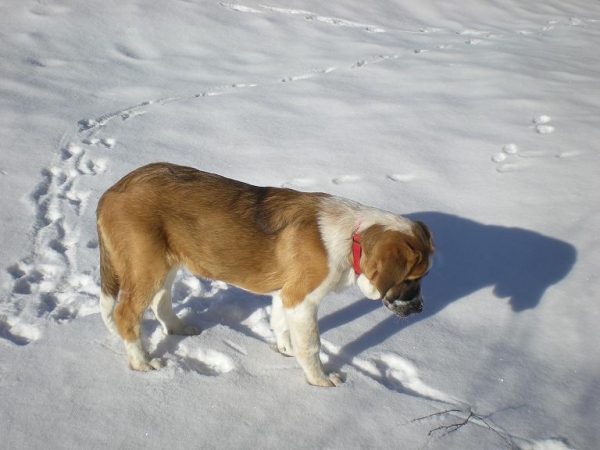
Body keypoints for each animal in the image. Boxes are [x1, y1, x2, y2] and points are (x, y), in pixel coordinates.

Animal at [97, 162, 436, 386]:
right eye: (411, 279)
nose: (420, 308)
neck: (354, 236)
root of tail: (111, 191)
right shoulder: (302, 299)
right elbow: (311, 345)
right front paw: (320, 380)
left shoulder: (286, 294)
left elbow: (281, 325)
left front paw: (285, 350)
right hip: (147, 265)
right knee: (126, 313)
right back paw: (143, 363)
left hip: (165, 262)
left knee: (160, 301)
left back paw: (178, 328)